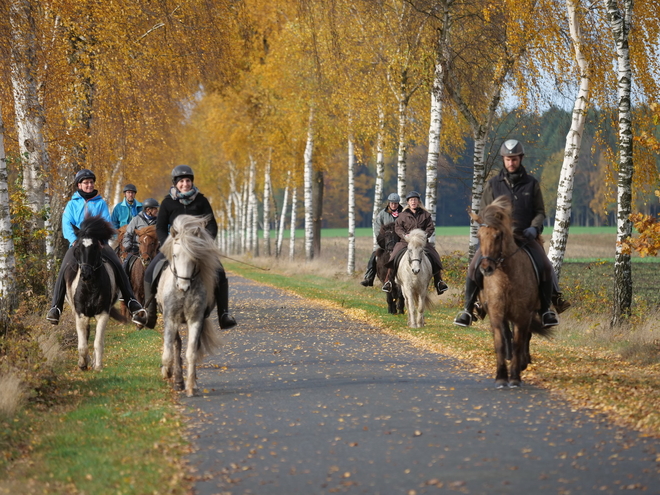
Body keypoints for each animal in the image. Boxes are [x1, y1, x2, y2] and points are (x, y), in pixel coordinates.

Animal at [65, 215, 125, 370]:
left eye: (96, 247)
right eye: (78, 248)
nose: (86, 274)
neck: (90, 287)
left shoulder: (103, 314)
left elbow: (98, 342)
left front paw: (97, 366)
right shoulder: (80, 314)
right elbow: (82, 345)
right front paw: (82, 364)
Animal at [157, 215, 224, 398]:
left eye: (195, 257)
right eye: (174, 255)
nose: (183, 287)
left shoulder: (195, 320)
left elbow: (191, 353)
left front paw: (191, 386)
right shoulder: (170, 319)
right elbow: (169, 352)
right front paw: (167, 372)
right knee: (176, 345)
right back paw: (177, 379)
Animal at [472, 196, 556, 390]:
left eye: (498, 235)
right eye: (479, 236)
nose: (486, 268)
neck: (506, 277)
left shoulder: (523, 314)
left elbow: (520, 341)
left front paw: (516, 376)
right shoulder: (496, 312)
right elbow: (501, 342)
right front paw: (501, 376)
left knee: (526, 336)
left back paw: (524, 361)